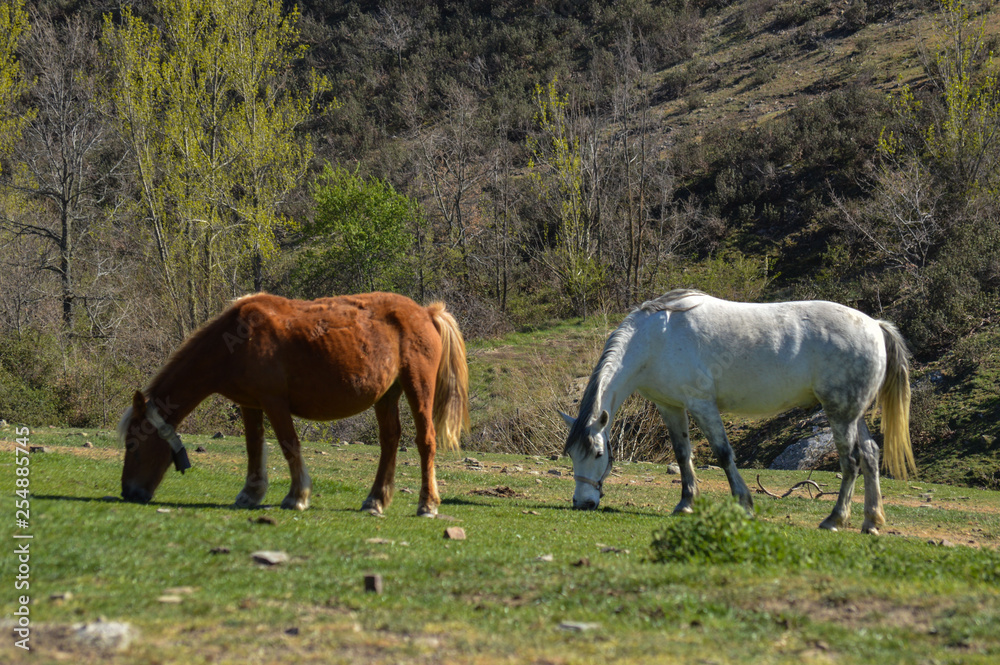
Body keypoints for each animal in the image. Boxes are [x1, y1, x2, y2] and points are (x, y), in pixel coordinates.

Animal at [119, 292, 470, 516]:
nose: (128, 493)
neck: (235, 341)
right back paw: (375, 500)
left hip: (417, 387)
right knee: (390, 440)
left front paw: (297, 496)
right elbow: (253, 447)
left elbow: (289, 445)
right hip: (386, 395)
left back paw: (427, 504)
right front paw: (251, 493)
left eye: (133, 446)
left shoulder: (274, 402)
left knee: (425, 441)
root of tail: (426, 313)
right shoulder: (250, 404)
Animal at [561, 289, 914, 535]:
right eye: (573, 455)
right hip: (853, 414)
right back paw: (871, 521)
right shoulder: (671, 406)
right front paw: (686, 503)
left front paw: (744, 503)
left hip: (840, 413)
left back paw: (835, 519)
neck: (655, 340)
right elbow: (682, 454)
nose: (582, 503)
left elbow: (723, 454)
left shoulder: (702, 404)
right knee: (870, 455)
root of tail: (875, 325)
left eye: (597, 454)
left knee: (851, 462)